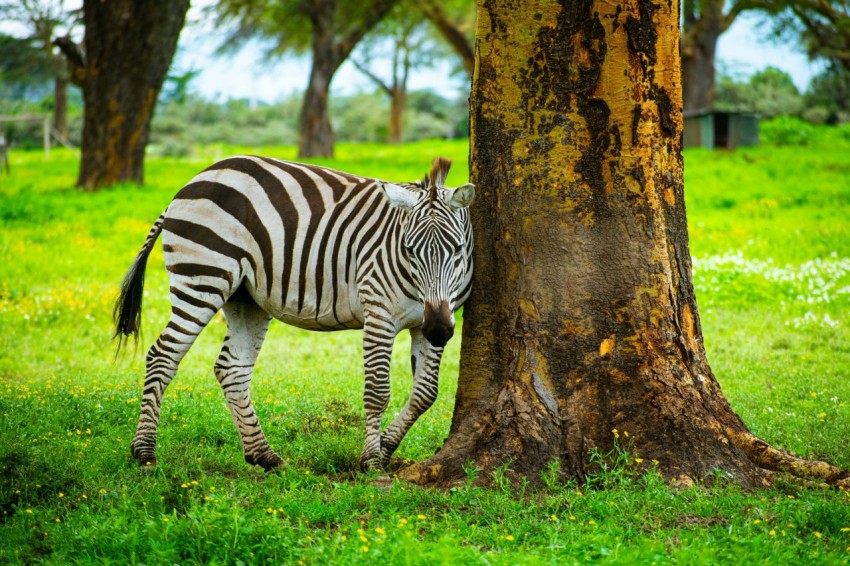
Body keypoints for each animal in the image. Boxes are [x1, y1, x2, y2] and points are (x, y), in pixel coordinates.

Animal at [112, 156, 474, 474]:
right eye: (409, 250)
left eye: (457, 249)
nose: (439, 330)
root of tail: (191, 183)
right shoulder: (379, 313)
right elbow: (377, 391)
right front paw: (372, 460)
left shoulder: (429, 318)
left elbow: (425, 393)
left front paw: (385, 446)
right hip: (203, 276)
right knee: (163, 355)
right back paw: (145, 451)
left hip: (246, 299)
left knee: (231, 369)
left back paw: (265, 456)